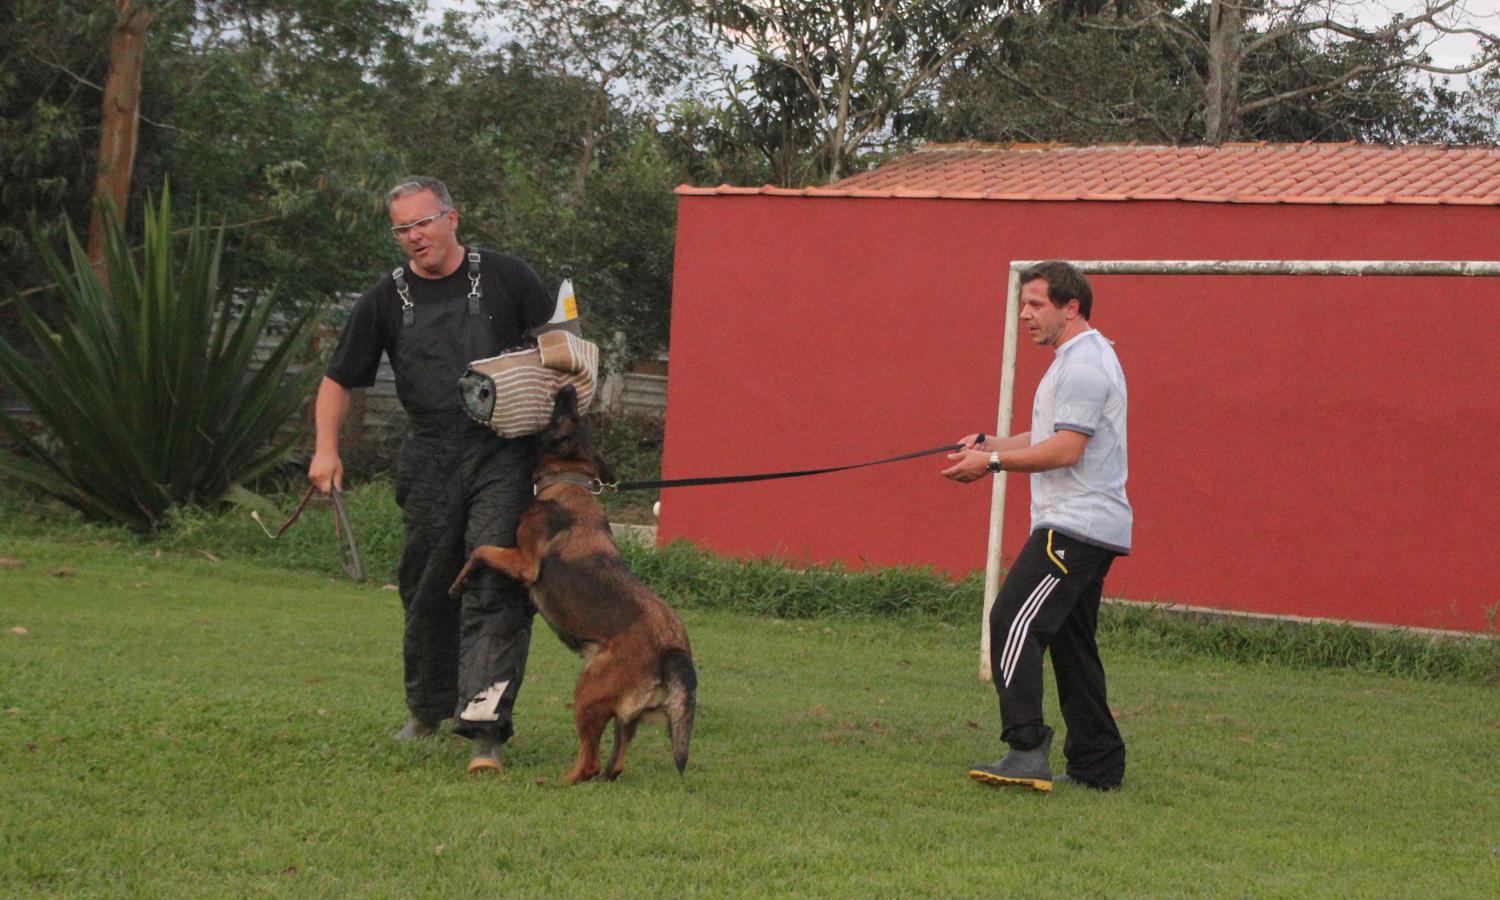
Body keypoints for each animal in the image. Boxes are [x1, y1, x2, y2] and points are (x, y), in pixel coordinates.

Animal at [450, 382, 696, 786]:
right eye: (574, 412)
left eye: (561, 412)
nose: (565, 387)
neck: (568, 479)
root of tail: (673, 646)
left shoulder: (524, 562)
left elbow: (482, 550)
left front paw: (458, 582)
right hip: (622, 715)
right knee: (614, 762)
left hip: (587, 693)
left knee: (590, 761)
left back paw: (556, 782)